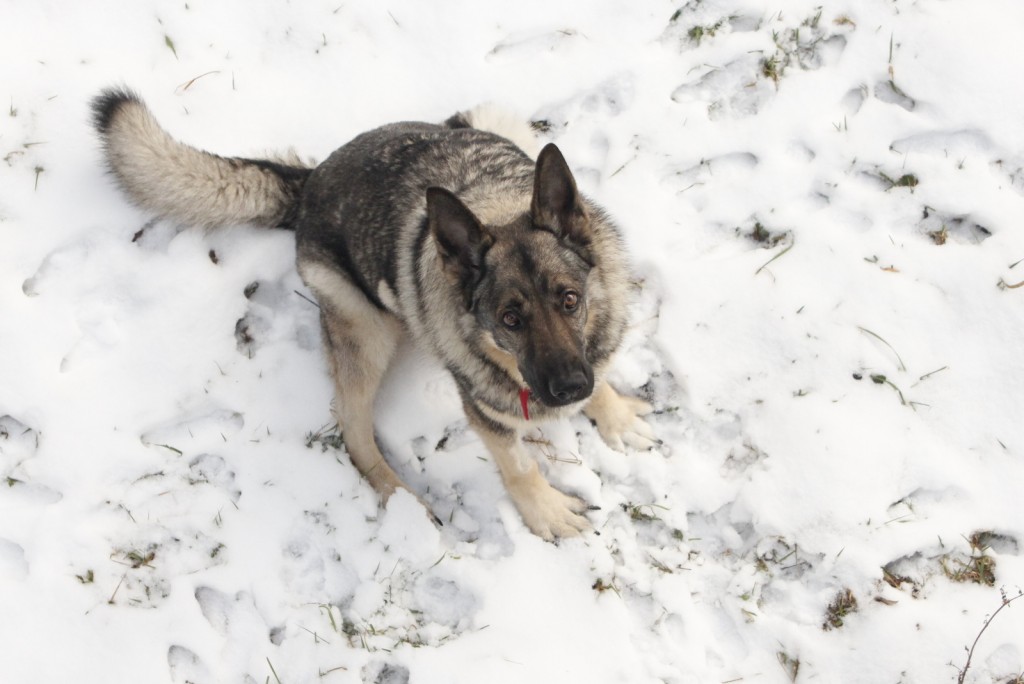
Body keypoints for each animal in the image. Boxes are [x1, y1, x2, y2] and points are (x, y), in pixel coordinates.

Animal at [94, 88, 655, 540]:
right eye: (510, 320)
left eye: (569, 300)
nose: (569, 390)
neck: (494, 206)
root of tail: (310, 179)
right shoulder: (486, 415)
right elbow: (519, 466)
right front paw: (545, 512)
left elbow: (601, 375)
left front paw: (614, 415)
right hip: (367, 332)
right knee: (354, 431)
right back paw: (401, 497)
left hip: (490, 116)